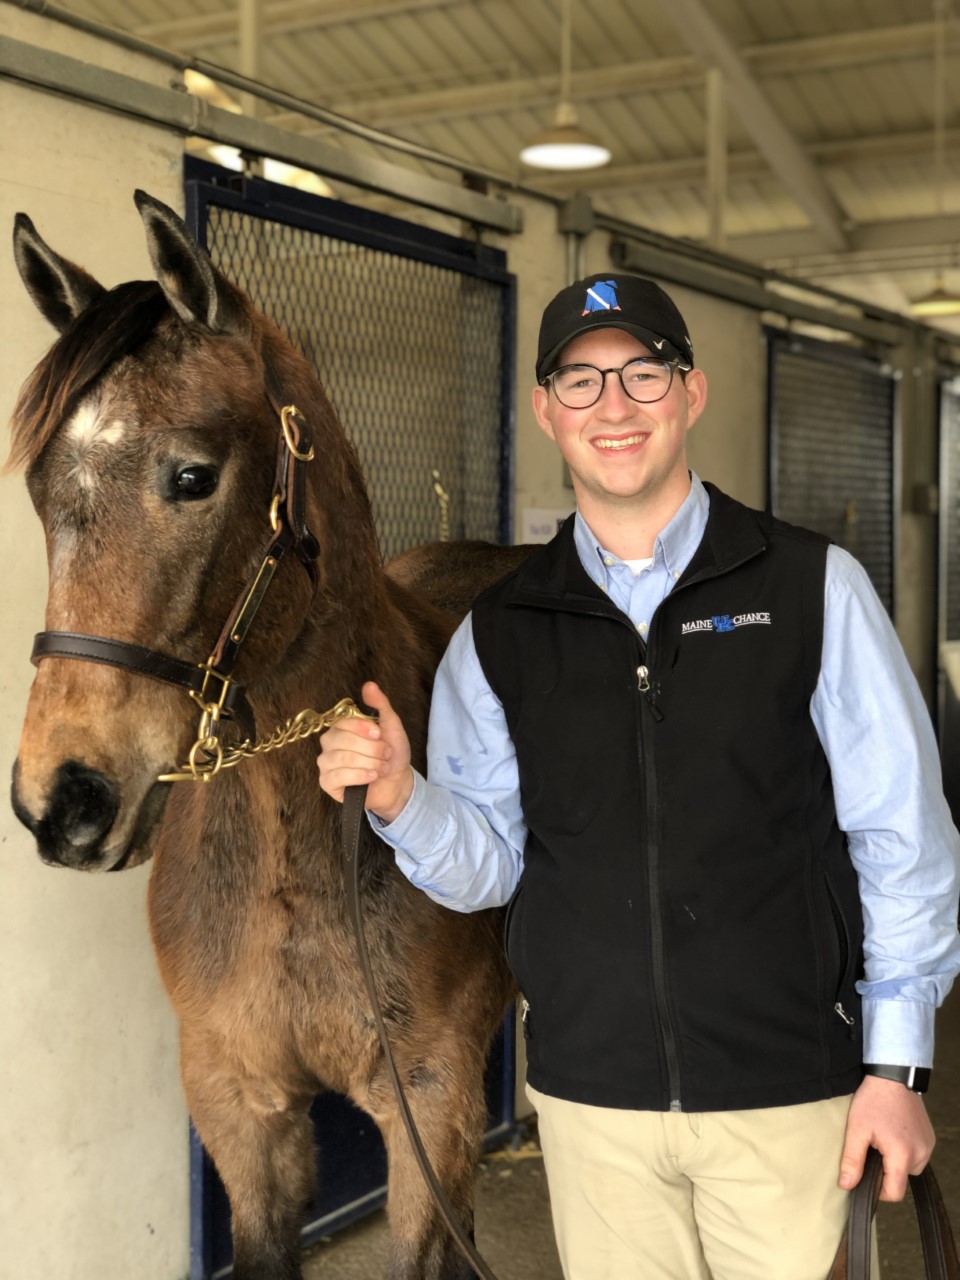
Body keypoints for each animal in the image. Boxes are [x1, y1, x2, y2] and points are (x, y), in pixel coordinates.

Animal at [7, 189, 527, 1280]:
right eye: (41, 491)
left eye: (192, 476)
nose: (62, 799)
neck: (298, 854)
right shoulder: (241, 1111)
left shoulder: (430, 1107)